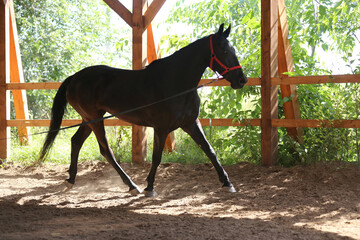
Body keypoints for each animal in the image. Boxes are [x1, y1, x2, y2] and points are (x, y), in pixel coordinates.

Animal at [39, 23, 248, 197]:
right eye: (224, 50)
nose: (242, 80)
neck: (176, 83)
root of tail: (74, 78)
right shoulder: (161, 128)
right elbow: (156, 157)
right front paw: (149, 187)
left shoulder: (190, 123)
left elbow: (209, 150)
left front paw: (227, 183)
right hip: (95, 119)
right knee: (106, 150)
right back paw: (132, 186)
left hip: (89, 119)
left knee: (76, 142)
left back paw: (71, 180)